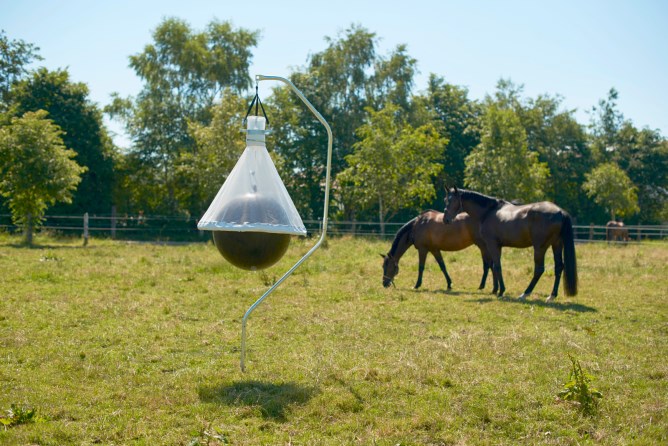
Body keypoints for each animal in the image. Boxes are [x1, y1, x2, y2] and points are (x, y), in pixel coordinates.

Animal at [443, 187, 577, 301]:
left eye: (452, 200)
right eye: (445, 200)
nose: (445, 220)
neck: (488, 211)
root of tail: (560, 212)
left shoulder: (492, 245)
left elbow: (497, 266)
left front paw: (501, 291)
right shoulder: (497, 246)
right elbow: (494, 266)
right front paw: (496, 289)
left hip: (540, 248)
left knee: (539, 269)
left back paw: (525, 294)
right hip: (557, 245)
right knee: (558, 267)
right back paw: (552, 296)